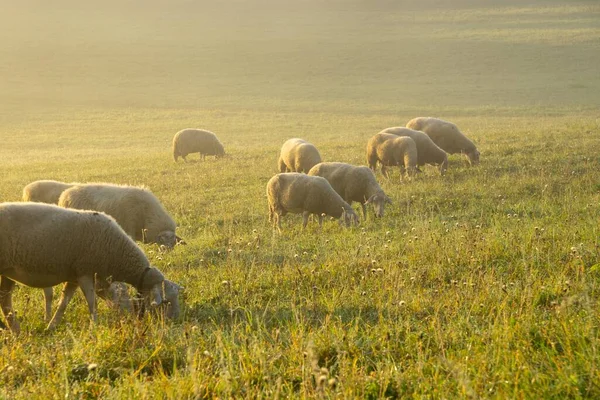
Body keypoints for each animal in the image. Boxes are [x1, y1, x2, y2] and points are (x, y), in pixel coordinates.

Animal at [0, 202, 170, 332]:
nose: (131, 320)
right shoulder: (85, 273)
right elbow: (92, 303)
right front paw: (94, 327)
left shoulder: (73, 278)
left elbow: (63, 303)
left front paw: (51, 326)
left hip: (7, 273)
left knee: (5, 301)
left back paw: (14, 330)